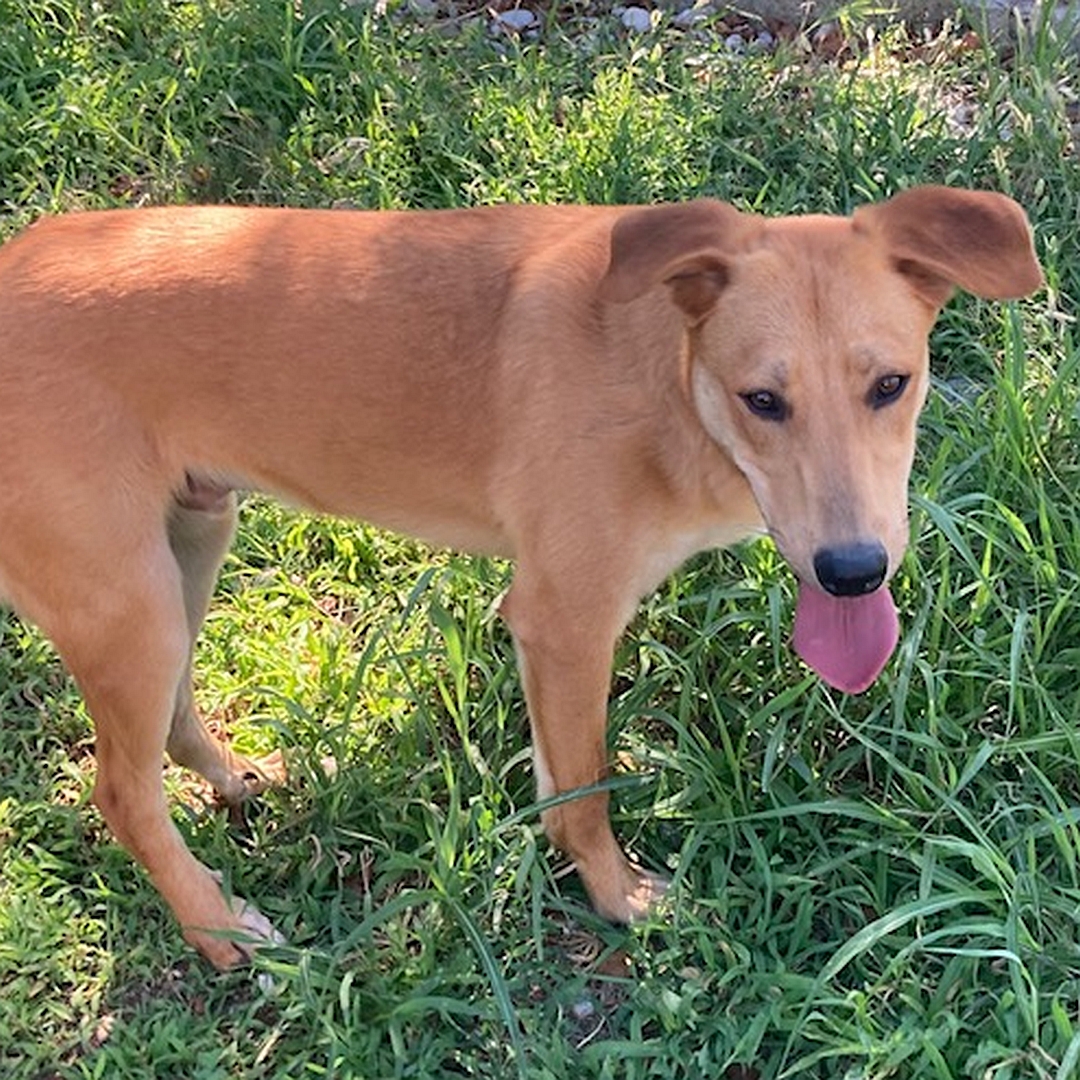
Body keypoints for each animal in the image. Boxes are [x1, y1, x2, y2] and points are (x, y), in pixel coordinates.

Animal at [2, 187, 1045, 972]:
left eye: (890, 385)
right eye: (763, 400)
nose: (853, 573)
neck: (667, 382)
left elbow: (559, 778)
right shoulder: (565, 618)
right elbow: (585, 787)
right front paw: (616, 896)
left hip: (189, 541)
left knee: (171, 723)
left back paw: (235, 782)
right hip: (126, 602)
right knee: (120, 791)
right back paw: (217, 929)